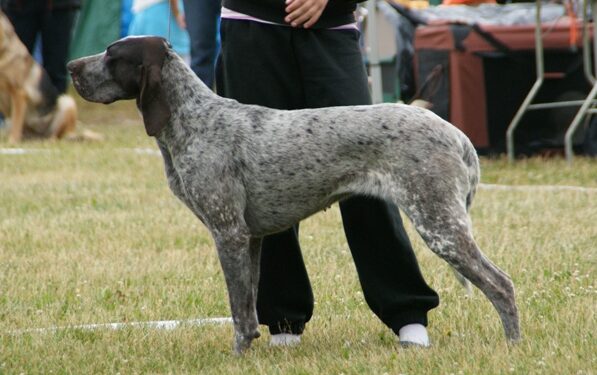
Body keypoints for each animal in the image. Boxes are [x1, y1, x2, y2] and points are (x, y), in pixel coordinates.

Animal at [0, 10, 77, 143]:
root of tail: (36, 137)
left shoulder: (18, 93)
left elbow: (16, 121)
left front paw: (12, 141)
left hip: (67, 103)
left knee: (55, 135)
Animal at [67, 36, 520, 354]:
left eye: (112, 55)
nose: (71, 66)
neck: (193, 119)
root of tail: (455, 133)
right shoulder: (249, 238)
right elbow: (248, 310)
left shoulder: (227, 233)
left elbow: (237, 310)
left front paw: (236, 358)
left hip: (439, 224)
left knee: (501, 284)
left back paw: (512, 345)